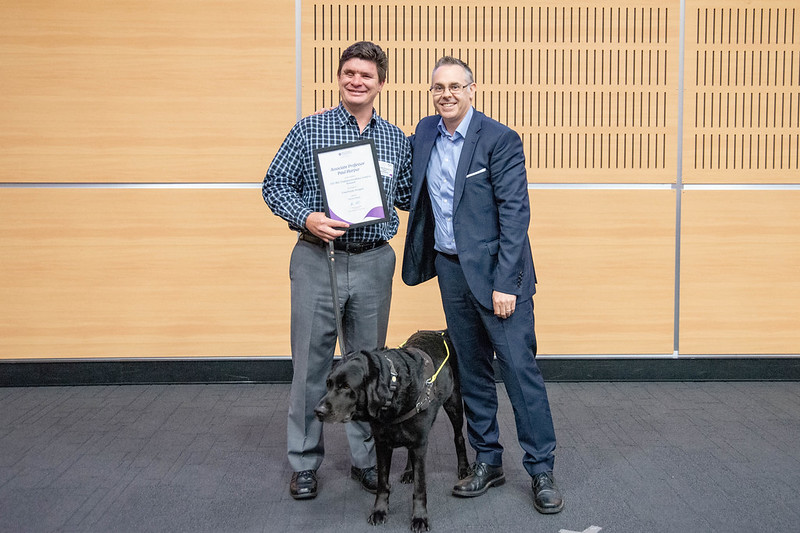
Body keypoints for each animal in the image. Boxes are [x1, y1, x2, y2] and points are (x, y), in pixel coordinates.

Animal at [316, 330, 472, 528]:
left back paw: (464, 468)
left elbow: (420, 487)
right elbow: (382, 483)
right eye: (328, 384)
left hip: (454, 403)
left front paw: (419, 517)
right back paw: (408, 471)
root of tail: (440, 333)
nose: (318, 411)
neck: (393, 388)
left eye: (346, 387)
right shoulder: (382, 443)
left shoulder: (420, 443)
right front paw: (379, 511)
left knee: (459, 437)